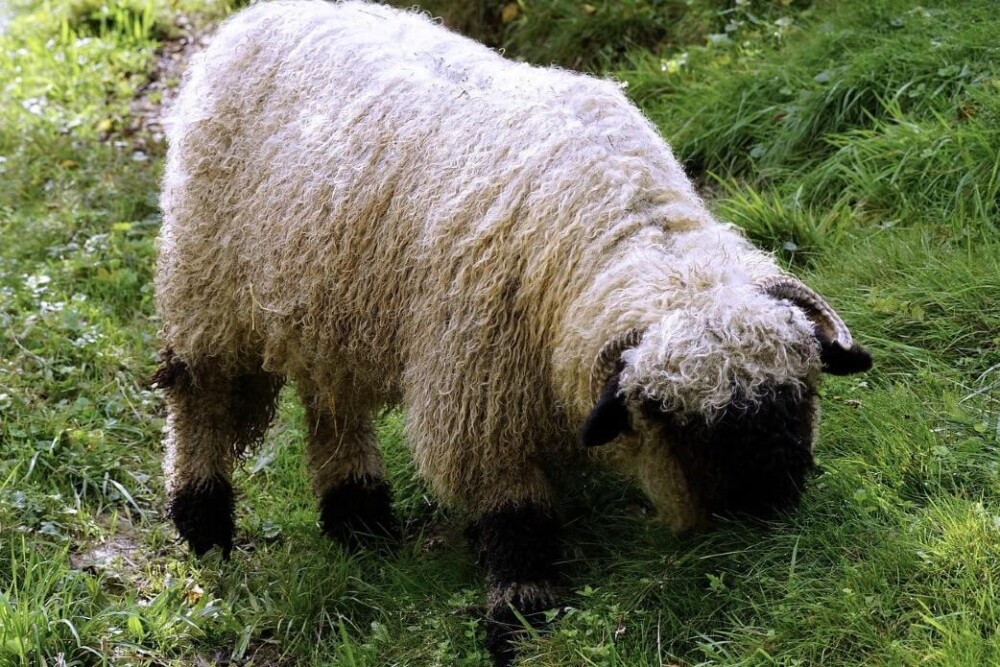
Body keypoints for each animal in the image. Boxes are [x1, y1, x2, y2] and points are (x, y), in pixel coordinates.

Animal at [152, 1, 872, 664]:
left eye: (800, 392)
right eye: (680, 420)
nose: (768, 506)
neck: (614, 220)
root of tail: (253, 15)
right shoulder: (478, 396)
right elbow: (514, 516)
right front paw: (519, 617)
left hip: (323, 301)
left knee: (332, 402)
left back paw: (359, 516)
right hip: (206, 283)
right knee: (200, 397)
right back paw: (202, 519)